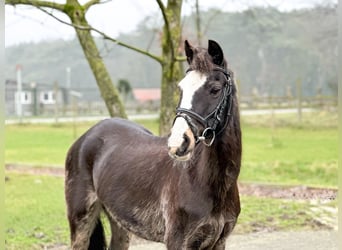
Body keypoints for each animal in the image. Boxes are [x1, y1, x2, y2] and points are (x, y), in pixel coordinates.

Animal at [64, 40, 240, 249]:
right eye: (181, 89)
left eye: (215, 89)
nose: (178, 143)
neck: (206, 181)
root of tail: (86, 136)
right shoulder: (178, 242)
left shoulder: (219, 242)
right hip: (81, 223)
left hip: (119, 224)